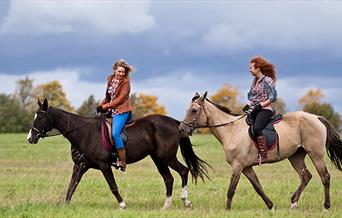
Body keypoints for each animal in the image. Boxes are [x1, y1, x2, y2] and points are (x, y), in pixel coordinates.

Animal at [26, 99, 208, 209]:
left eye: (41, 117)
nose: (30, 138)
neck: (84, 133)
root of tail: (175, 122)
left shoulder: (104, 165)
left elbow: (112, 186)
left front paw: (122, 205)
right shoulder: (80, 166)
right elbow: (72, 186)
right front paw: (65, 205)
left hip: (166, 157)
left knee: (184, 171)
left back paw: (185, 201)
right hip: (158, 158)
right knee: (168, 179)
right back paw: (166, 206)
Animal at [179, 92, 342, 211]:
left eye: (194, 110)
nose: (181, 130)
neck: (231, 130)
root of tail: (317, 117)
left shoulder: (238, 166)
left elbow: (231, 189)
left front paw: (227, 210)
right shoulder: (246, 167)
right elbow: (258, 187)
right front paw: (271, 206)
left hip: (316, 154)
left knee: (325, 177)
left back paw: (326, 206)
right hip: (295, 157)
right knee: (306, 176)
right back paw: (293, 203)